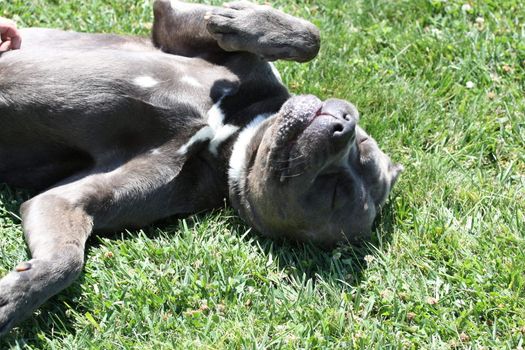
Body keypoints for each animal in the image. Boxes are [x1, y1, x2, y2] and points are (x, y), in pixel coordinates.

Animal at [0, 0, 402, 336]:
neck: (228, 138)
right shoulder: (173, 28)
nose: (343, 127)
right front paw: (241, 19)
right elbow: (311, 37)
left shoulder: (67, 200)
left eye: (333, 193)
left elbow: (67, 258)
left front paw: (15, 297)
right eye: (362, 147)